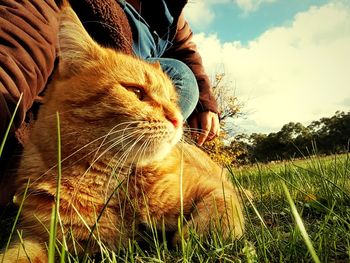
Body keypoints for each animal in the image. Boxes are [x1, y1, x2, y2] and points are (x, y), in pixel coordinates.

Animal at [0, 6, 243, 263]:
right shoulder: (39, 239)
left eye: (172, 99)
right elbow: (17, 255)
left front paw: (188, 237)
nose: (177, 119)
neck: (113, 185)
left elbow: (219, 213)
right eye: (136, 92)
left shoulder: (212, 188)